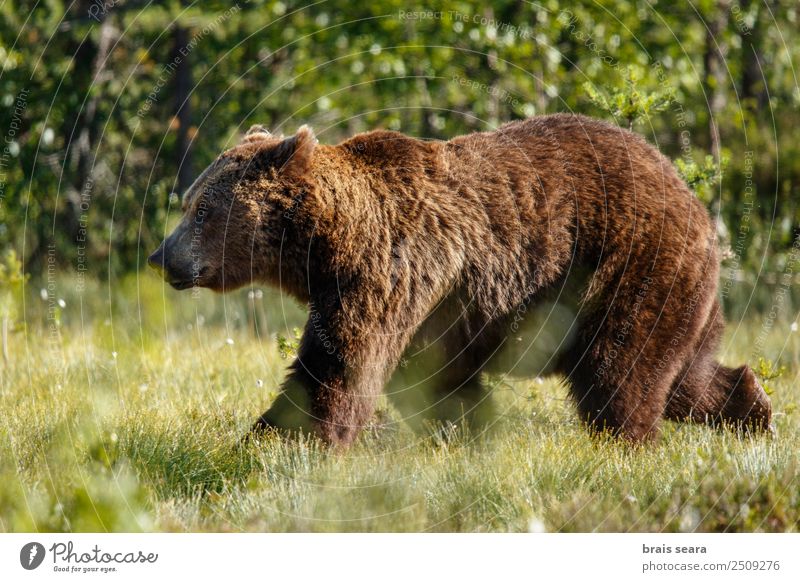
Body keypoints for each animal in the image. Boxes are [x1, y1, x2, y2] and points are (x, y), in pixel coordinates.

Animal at [147, 114, 772, 448]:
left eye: (200, 209)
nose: (161, 255)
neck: (323, 248)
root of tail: (692, 198)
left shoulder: (391, 269)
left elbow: (339, 367)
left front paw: (272, 440)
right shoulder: (419, 306)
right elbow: (429, 378)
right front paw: (469, 432)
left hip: (628, 265)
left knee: (619, 373)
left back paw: (629, 442)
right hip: (675, 288)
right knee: (684, 371)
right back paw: (754, 409)